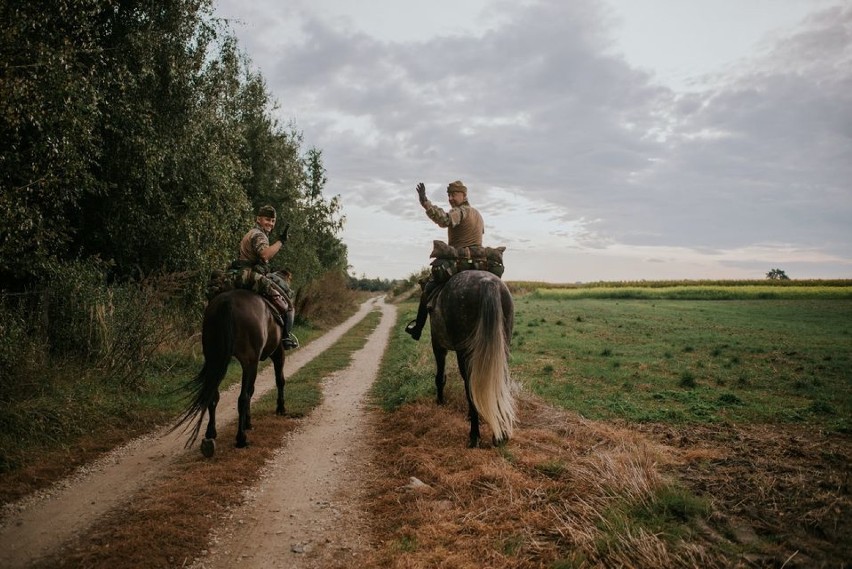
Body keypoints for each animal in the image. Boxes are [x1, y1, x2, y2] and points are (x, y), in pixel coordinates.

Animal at [174, 288, 286, 458]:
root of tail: (227, 303)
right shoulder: (276, 352)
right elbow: (278, 380)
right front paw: (280, 409)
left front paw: (248, 422)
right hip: (249, 362)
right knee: (243, 397)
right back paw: (241, 439)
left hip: (215, 359)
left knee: (213, 396)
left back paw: (210, 435)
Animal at [430, 268, 516, 446]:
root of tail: (487, 283)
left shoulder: (438, 345)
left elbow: (440, 377)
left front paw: (440, 401)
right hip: (501, 349)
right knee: (499, 381)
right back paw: (501, 434)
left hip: (464, 353)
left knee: (469, 385)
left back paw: (474, 435)